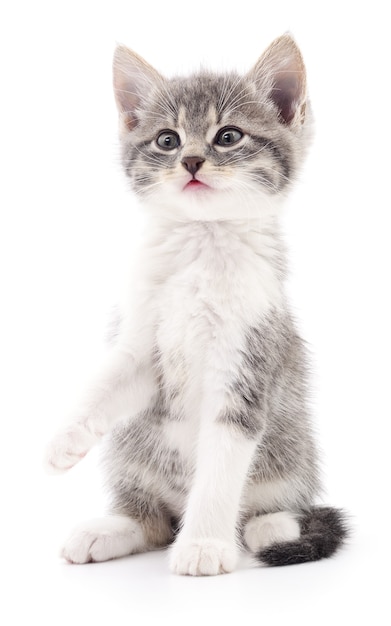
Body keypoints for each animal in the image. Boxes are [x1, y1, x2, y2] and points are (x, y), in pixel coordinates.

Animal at [46, 33, 350, 572]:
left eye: (228, 136)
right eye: (167, 140)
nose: (190, 161)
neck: (203, 244)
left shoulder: (246, 359)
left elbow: (221, 467)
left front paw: (205, 543)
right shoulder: (145, 342)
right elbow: (107, 381)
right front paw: (66, 437)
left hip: (291, 455)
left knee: (273, 505)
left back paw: (270, 526)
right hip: (132, 452)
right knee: (152, 523)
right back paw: (110, 528)